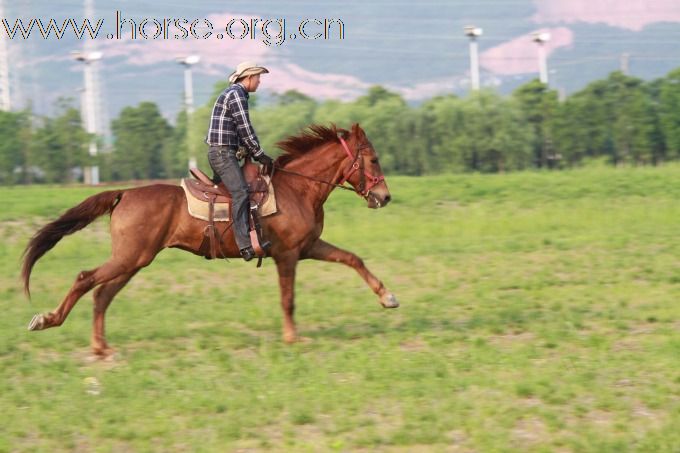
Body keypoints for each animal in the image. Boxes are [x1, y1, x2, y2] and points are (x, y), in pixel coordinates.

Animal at [21, 123, 398, 356]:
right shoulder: (288, 254)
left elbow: (352, 258)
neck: (297, 188)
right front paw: (292, 337)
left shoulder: (307, 248)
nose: (384, 196)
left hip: (134, 260)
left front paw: (387, 297)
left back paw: (101, 347)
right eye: (373, 159)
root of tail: (124, 193)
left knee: (102, 294)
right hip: (129, 258)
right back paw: (47, 320)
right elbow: (288, 298)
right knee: (86, 279)